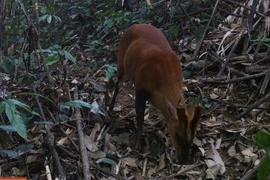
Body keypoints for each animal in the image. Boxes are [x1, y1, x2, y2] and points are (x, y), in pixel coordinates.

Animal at [109, 23, 202, 165]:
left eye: (192, 136)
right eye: (178, 135)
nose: (184, 160)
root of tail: (134, 25)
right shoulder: (140, 89)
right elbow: (140, 117)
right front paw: (137, 144)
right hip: (121, 62)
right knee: (117, 83)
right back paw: (110, 109)